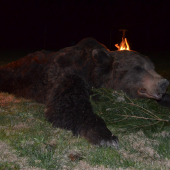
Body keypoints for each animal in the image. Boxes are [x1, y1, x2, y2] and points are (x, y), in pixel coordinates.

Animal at [0, 38, 169, 149]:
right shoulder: (70, 77)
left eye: (152, 67)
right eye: (138, 68)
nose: (164, 83)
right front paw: (105, 137)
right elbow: (69, 108)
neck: (92, 73)